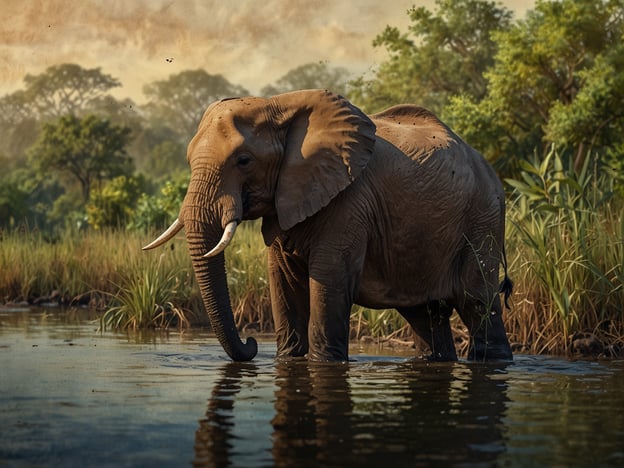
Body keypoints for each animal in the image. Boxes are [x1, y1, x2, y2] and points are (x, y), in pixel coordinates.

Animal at [144, 89, 516, 364]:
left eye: (244, 161)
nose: (251, 343)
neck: (278, 105)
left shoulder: (351, 202)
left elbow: (329, 282)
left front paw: (323, 364)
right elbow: (283, 284)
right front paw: (288, 360)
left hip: (482, 217)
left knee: (476, 301)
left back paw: (494, 361)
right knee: (424, 314)